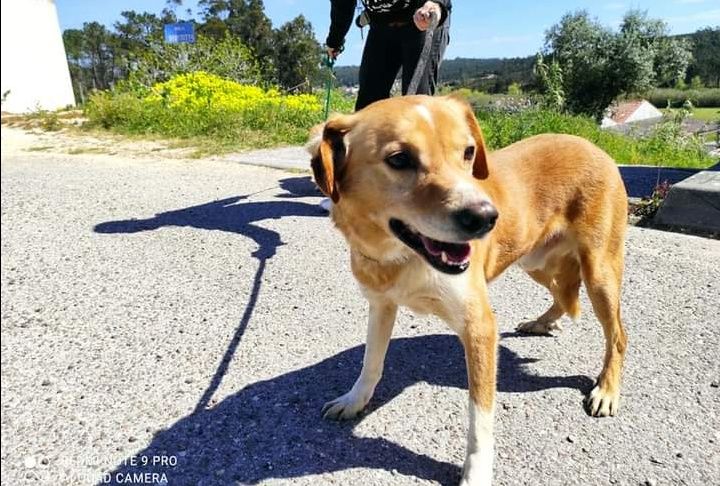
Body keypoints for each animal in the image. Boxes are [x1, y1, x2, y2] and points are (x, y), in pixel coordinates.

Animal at [306, 96, 628, 486]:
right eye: (399, 159)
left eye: (469, 152)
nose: (487, 218)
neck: (399, 258)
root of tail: (591, 144)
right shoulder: (381, 305)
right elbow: (371, 362)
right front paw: (354, 400)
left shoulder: (479, 329)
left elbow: (480, 416)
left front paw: (476, 471)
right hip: (533, 261)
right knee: (563, 297)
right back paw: (542, 322)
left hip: (599, 273)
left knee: (618, 335)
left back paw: (607, 389)